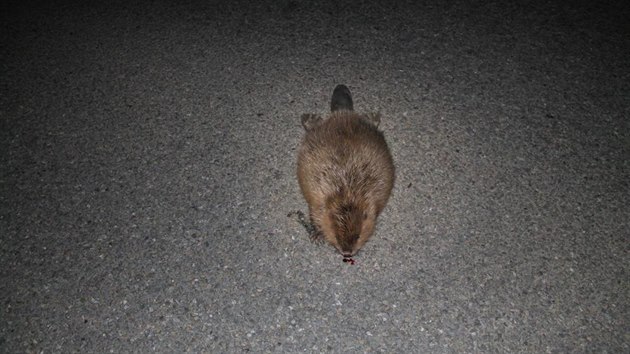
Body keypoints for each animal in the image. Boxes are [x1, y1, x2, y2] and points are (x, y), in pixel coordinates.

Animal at [296, 85, 396, 258]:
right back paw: (308, 118)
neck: (347, 193)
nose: (347, 253)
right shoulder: (318, 199)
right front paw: (317, 235)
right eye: (336, 236)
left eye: (357, 236)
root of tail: (343, 112)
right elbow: (314, 215)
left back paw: (374, 116)